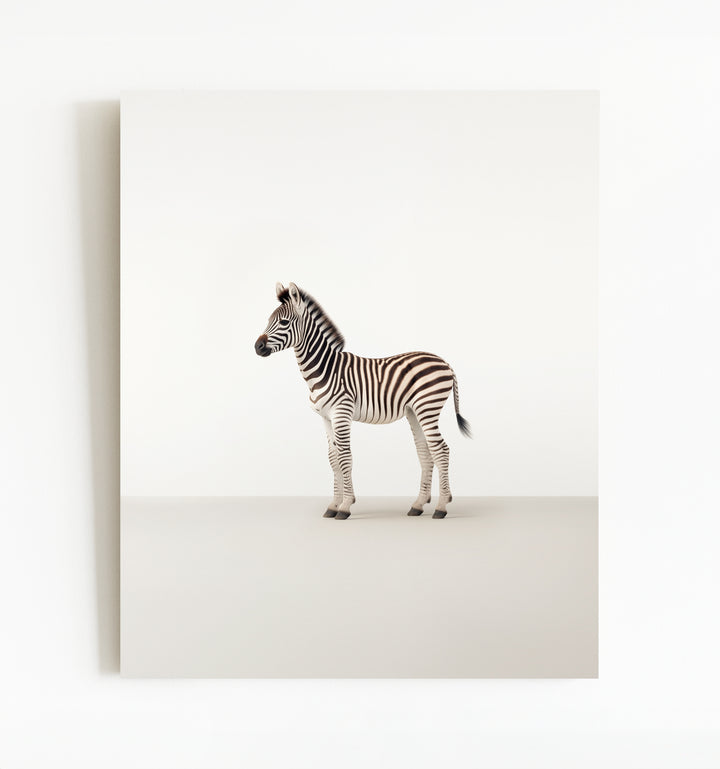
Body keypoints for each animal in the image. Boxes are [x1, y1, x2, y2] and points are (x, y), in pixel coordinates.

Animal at [254, 282, 472, 520]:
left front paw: (345, 506)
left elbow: (345, 457)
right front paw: (333, 505)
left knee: (441, 450)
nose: (257, 347)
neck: (324, 369)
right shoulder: (325, 418)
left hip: (428, 407)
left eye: (284, 322)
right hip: (414, 411)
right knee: (425, 452)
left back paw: (441, 507)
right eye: (268, 320)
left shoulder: (341, 413)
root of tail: (445, 362)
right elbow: (333, 459)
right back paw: (418, 504)